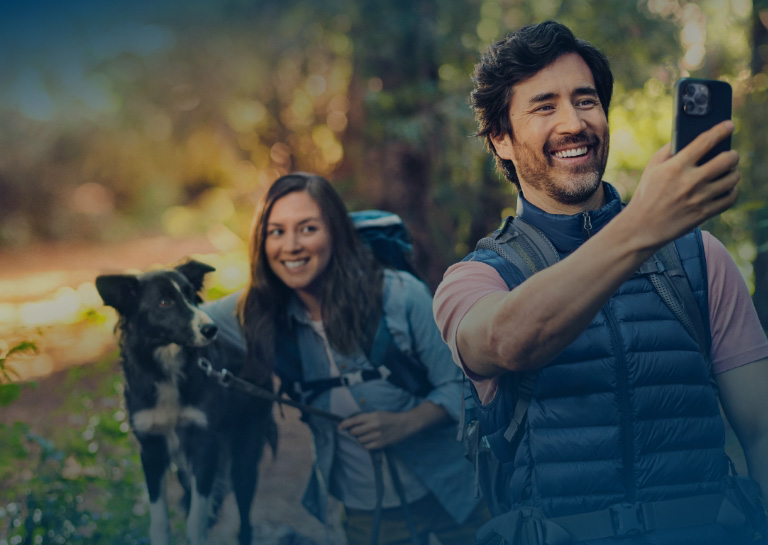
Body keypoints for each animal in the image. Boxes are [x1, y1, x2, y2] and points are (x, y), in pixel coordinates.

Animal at [95, 258, 276, 544]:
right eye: (164, 302)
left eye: (191, 295)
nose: (211, 329)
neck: (169, 367)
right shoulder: (151, 449)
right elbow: (160, 520)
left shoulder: (204, 444)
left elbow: (196, 519)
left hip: (244, 455)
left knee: (244, 520)